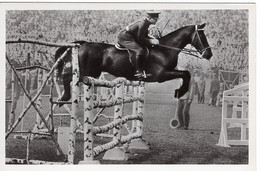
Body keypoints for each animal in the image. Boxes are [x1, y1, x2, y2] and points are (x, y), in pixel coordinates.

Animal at [54, 23, 211, 103]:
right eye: (202, 35)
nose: (209, 54)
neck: (165, 49)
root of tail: (84, 44)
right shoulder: (161, 75)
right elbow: (186, 74)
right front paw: (180, 92)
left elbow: (186, 74)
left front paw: (179, 92)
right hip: (86, 72)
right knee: (67, 78)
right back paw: (64, 97)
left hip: (93, 73)